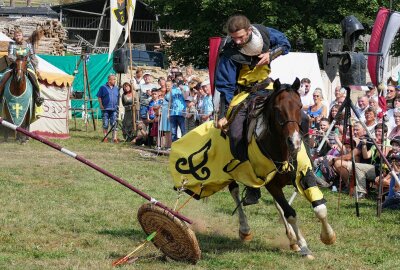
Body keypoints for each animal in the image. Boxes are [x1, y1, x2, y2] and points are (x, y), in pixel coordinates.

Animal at [227, 77, 336, 258]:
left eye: (300, 106)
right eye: (278, 109)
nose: (295, 141)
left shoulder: (304, 175)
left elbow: (320, 208)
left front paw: (328, 237)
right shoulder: (271, 184)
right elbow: (290, 213)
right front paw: (304, 246)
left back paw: (292, 239)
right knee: (234, 190)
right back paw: (245, 229)